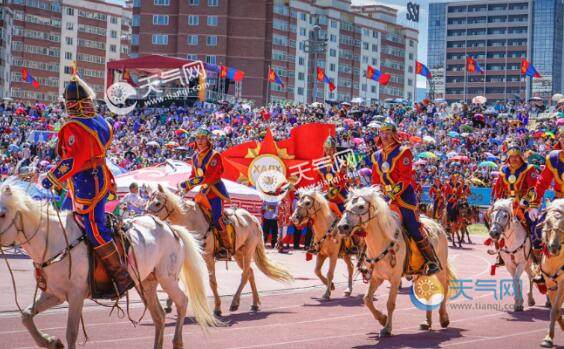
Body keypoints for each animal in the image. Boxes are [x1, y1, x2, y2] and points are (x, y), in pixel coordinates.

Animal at [0, 181, 218, 346]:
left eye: (2, 214)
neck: (56, 239)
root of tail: (172, 229)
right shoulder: (54, 294)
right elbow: (26, 316)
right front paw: (50, 341)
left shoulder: (76, 295)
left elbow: (72, 333)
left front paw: (55, 341)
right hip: (146, 283)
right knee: (159, 317)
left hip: (168, 279)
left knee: (182, 302)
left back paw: (178, 341)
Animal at [144, 184, 296, 314]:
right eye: (147, 201)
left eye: (157, 203)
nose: (146, 218)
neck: (191, 220)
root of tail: (253, 218)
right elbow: (176, 278)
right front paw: (169, 304)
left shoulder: (208, 257)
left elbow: (212, 282)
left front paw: (217, 307)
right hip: (238, 253)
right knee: (250, 273)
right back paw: (254, 303)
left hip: (248, 250)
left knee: (245, 274)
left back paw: (235, 303)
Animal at [334, 188, 454, 338]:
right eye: (346, 206)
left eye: (361, 206)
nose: (341, 227)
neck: (382, 241)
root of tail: (438, 225)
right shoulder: (377, 277)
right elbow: (367, 299)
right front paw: (382, 319)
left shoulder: (395, 279)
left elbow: (390, 304)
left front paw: (387, 328)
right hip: (422, 272)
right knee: (428, 293)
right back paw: (427, 322)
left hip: (440, 269)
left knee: (444, 288)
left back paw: (443, 318)